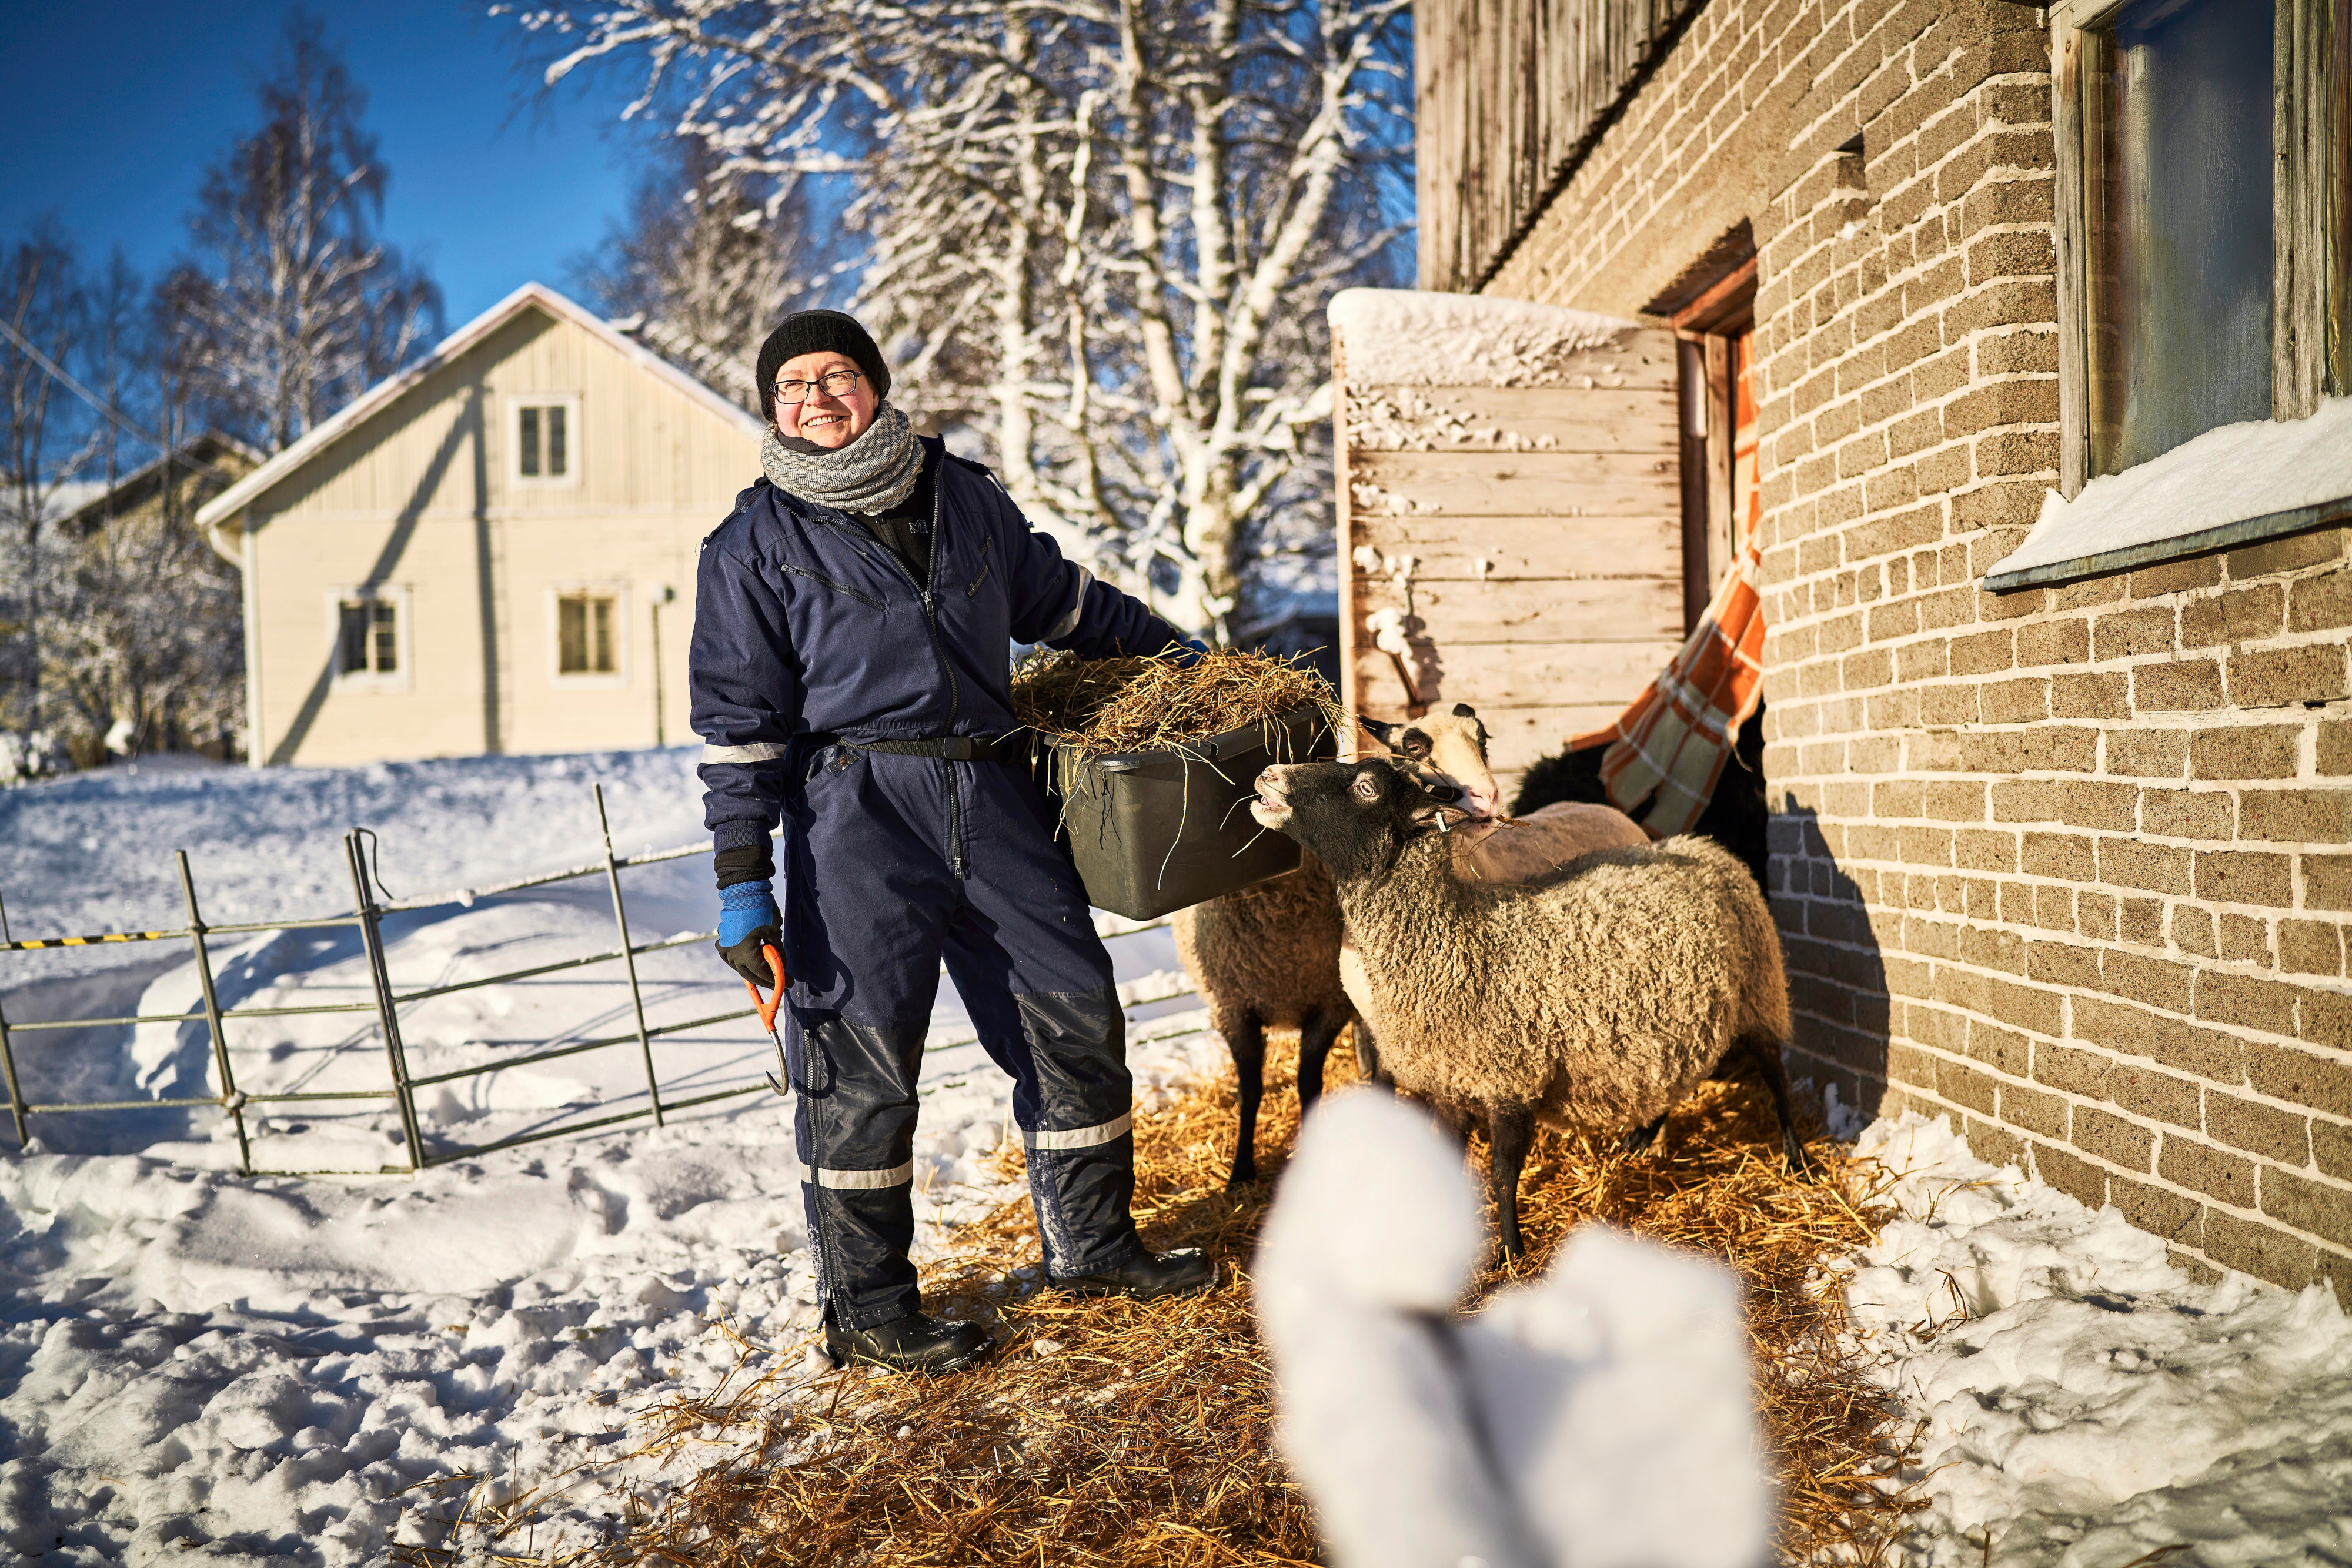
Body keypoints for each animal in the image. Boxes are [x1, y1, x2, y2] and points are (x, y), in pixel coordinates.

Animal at [1261, 752, 1806, 1260]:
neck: (1457, 947)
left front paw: (1511, 1251)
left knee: (1775, 1072)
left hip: (1760, 989)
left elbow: (1504, 1172)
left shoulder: (1515, 1079)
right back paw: (1639, 1141)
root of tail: (1704, 847)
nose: (1268, 774)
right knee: (1671, 1074)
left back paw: (1796, 1158)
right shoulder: (1452, 1086)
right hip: (1672, 1017)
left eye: (1366, 787)